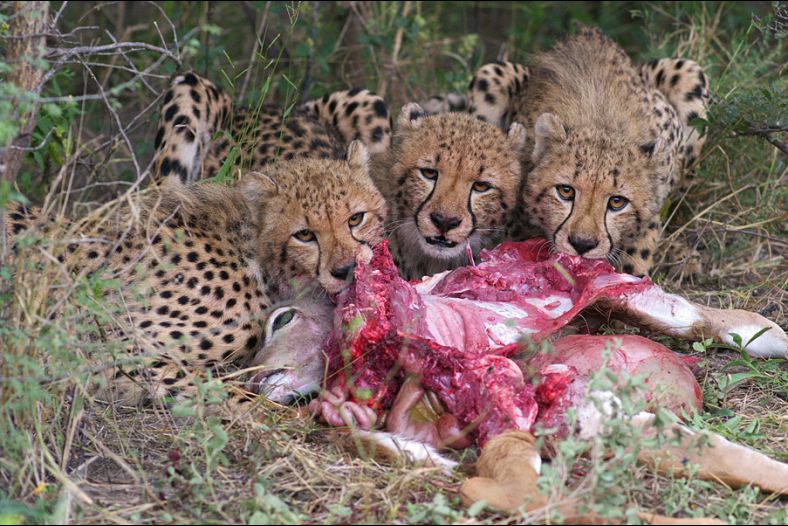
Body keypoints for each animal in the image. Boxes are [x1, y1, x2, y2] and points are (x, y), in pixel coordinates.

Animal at [4, 139, 386, 410]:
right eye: (304, 234)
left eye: (356, 218)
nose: (347, 269)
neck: (254, 254)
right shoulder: (107, 343)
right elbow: (234, 397)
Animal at [465, 27, 710, 276]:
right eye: (565, 191)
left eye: (617, 202)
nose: (582, 244)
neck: (600, 121)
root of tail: (589, 31)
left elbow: (641, 244)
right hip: (490, 75)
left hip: (687, 72)